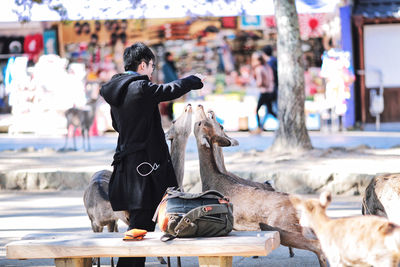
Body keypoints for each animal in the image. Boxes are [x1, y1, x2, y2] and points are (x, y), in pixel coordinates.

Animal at [194, 105, 328, 267]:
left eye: (200, 123)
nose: (206, 108)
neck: (211, 180)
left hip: (284, 227)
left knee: (317, 245)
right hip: (302, 227)